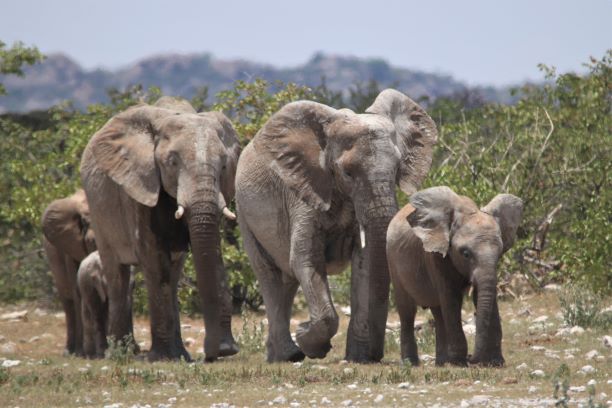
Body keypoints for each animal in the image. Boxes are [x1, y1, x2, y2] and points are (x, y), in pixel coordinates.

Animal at [41, 190, 97, 356]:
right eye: (91, 243)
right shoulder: (69, 245)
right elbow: (77, 290)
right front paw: (81, 353)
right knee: (68, 301)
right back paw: (69, 351)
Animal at [80, 97, 241, 362]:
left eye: (224, 166)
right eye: (172, 162)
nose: (215, 352)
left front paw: (219, 350)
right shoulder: (140, 185)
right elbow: (154, 259)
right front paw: (162, 358)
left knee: (173, 276)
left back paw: (177, 353)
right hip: (99, 213)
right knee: (117, 274)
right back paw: (120, 354)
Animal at [233, 90, 436, 364]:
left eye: (397, 169)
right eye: (348, 173)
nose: (376, 355)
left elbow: (365, 263)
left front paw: (357, 358)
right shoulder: (304, 191)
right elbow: (305, 259)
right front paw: (309, 340)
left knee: (287, 280)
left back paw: (279, 354)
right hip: (244, 213)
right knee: (269, 273)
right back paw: (289, 355)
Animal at [388, 186, 520, 368]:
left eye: (500, 253)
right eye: (465, 253)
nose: (472, 359)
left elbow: (483, 296)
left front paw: (495, 363)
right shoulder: (436, 254)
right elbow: (451, 298)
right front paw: (459, 363)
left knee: (438, 312)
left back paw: (442, 363)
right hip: (393, 262)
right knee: (407, 311)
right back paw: (411, 363)